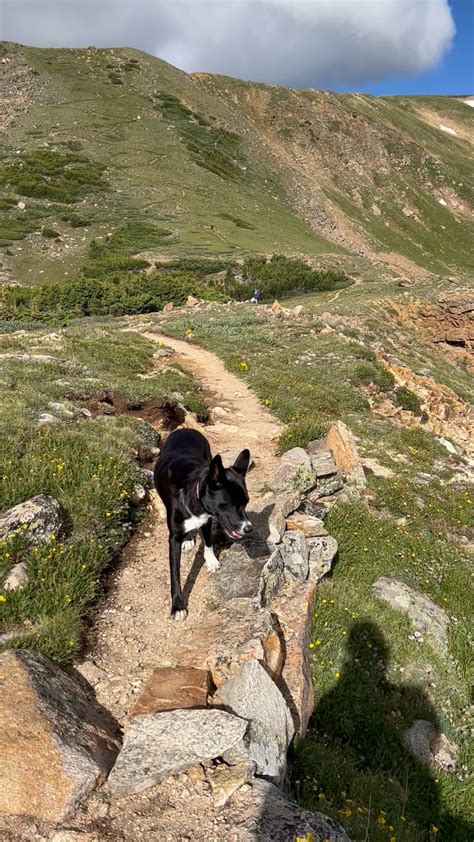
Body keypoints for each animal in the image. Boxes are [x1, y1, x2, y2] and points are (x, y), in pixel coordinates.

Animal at [155, 426, 252, 616]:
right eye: (230, 504)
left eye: (246, 502)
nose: (248, 528)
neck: (194, 492)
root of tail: (186, 429)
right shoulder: (174, 537)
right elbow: (175, 573)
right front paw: (178, 605)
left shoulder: (207, 518)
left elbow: (208, 541)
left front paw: (211, 560)